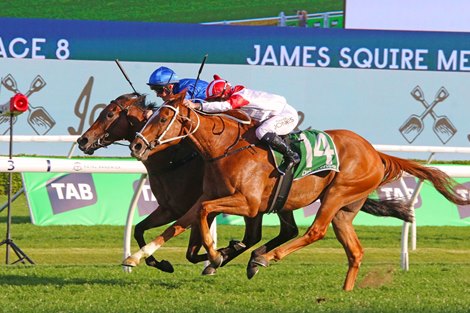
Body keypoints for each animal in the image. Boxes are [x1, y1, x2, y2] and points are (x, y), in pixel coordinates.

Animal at [75, 92, 300, 276]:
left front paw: (217, 256)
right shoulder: (169, 208)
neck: (173, 158)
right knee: (278, 233)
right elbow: (140, 229)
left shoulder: (199, 206)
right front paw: (160, 263)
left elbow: (190, 247)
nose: (83, 140)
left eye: (109, 114)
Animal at [129, 91, 470, 290]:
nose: (137, 145)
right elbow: (189, 219)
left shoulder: (248, 203)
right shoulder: (212, 196)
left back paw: (265, 259)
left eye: (163, 116)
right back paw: (344, 291)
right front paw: (142, 258)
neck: (225, 149)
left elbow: (203, 214)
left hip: (336, 194)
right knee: (354, 250)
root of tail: (375, 152)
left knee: (315, 232)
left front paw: (215, 255)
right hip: (342, 208)